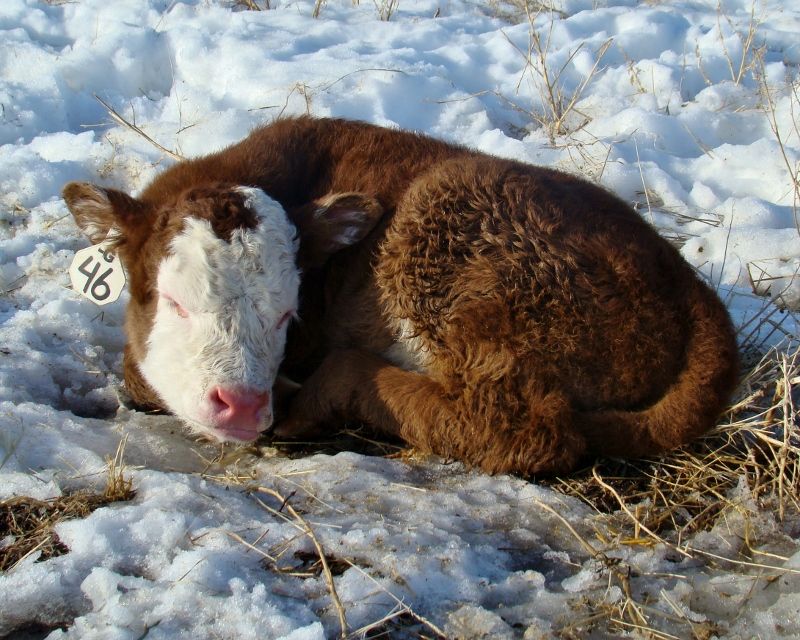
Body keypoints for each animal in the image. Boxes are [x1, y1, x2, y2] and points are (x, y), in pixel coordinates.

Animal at [63, 116, 739, 476]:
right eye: (174, 302)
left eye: (286, 315)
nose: (244, 406)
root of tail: (686, 281)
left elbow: (139, 372)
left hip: (455, 245)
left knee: (528, 429)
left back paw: (323, 393)